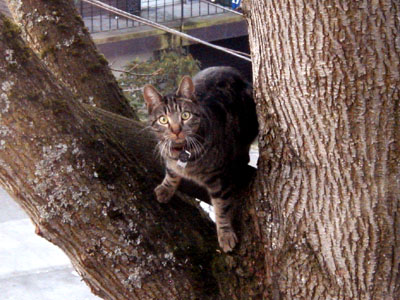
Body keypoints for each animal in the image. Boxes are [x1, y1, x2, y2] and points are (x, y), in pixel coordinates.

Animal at [142, 67, 258, 252]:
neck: (181, 152)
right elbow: (171, 172)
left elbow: (222, 208)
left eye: (185, 115)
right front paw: (166, 188)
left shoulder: (219, 179)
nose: (176, 130)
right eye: (163, 119)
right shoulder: (168, 156)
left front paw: (225, 233)